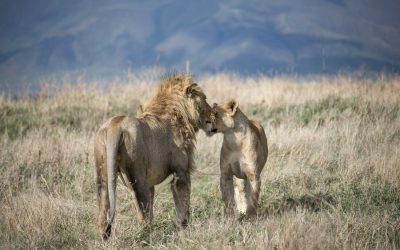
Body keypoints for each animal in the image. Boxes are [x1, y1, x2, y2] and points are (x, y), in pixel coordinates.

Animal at [94, 74, 214, 240]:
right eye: (205, 98)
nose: (213, 115)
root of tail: (115, 125)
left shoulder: (150, 182)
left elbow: (152, 210)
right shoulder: (181, 173)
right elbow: (183, 204)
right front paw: (184, 230)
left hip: (104, 176)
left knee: (103, 212)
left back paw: (105, 238)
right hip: (138, 178)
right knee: (142, 216)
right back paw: (147, 239)